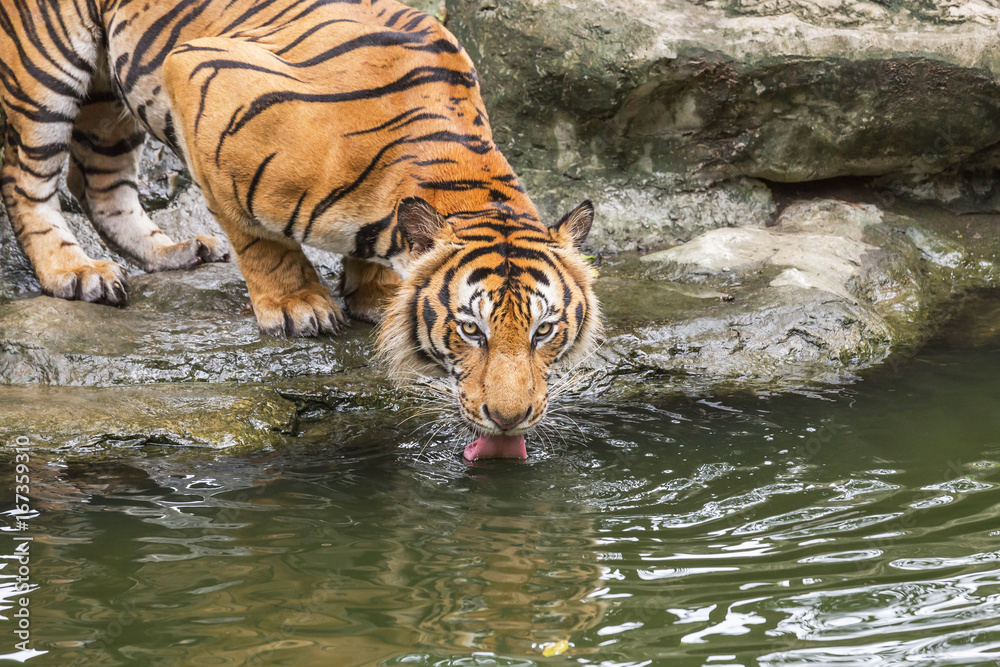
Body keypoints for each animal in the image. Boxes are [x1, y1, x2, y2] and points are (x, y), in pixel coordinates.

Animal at [0, 0, 601, 459]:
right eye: (471, 330)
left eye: (543, 331)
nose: (510, 418)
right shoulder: (198, 75)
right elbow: (260, 239)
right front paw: (299, 306)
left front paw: (376, 296)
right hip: (46, 68)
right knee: (26, 178)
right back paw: (75, 271)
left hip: (109, 98)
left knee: (96, 180)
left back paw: (174, 251)